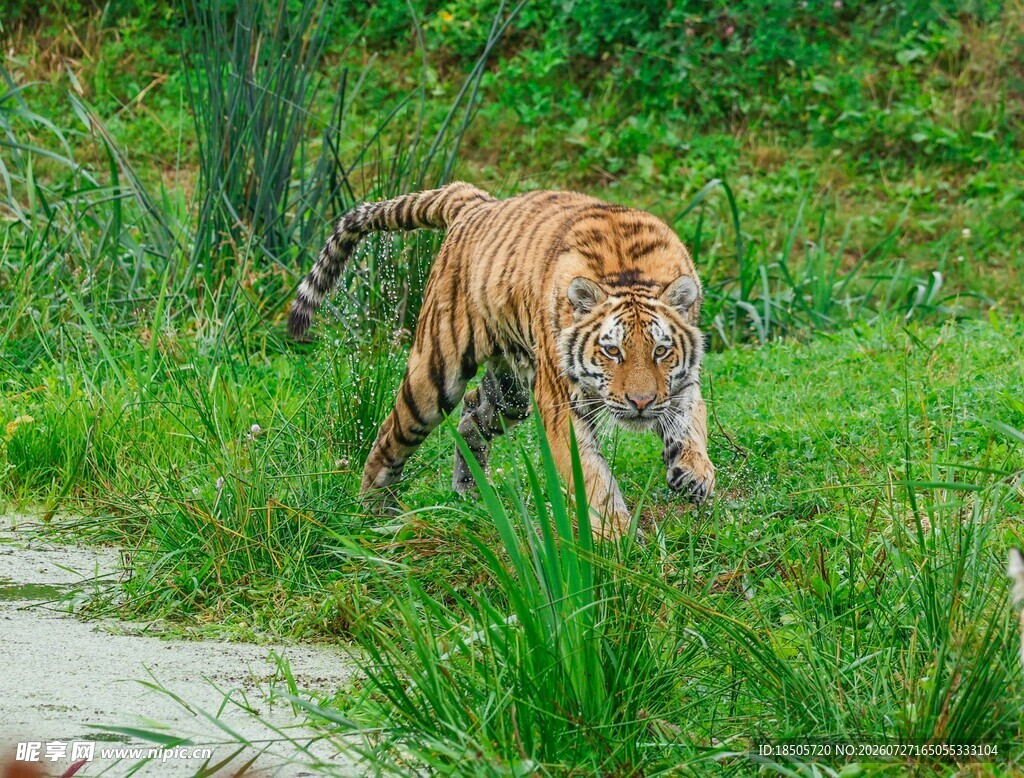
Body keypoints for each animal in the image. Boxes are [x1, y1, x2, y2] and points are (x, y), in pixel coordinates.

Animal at [288, 182, 715, 538]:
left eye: (661, 350)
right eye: (612, 351)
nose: (640, 403)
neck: (629, 274)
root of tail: (473, 200)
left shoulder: (681, 384)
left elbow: (691, 422)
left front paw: (694, 474)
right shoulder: (561, 407)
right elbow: (592, 478)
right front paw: (617, 537)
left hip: (510, 393)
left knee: (473, 412)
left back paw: (470, 491)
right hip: (434, 376)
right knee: (390, 435)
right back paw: (373, 513)